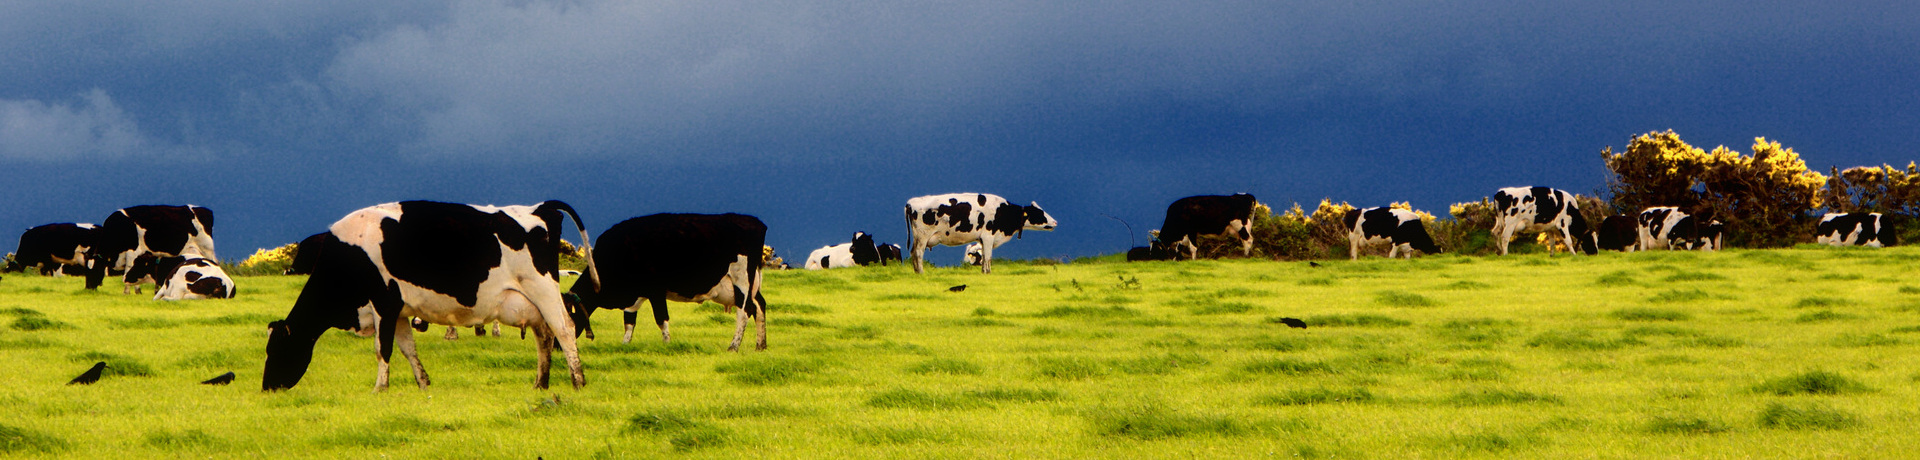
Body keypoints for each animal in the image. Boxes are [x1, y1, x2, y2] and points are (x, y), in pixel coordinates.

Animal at [85, 205, 215, 291]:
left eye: (95, 269)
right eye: (86, 271)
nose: (88, 288)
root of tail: (203, 209)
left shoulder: (133, 252)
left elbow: (128, 270)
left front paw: (129, 292)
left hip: (206, 248)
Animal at [560, 213, 764, 350]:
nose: (558, 347)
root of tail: (753, 221)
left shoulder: (655, 290)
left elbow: (661, 319)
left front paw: (667, 344)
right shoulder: (634, 295)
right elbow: (629, 321)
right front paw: (625, 344)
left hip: (742, 280)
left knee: (745, 311)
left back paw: (733, 346)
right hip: (753, 284)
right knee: (760, 306)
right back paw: (760, 345)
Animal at [902, 191, 1059, 272]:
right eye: (1039, 212)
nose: (1055, 222)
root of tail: (911, 202)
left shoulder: (983, 240)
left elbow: (984, 258)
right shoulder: (988, 236)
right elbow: (988, 258)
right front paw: (988, 273)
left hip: (917, 238)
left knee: (913, 253)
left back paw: (916, 272)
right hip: (922, 236)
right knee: (918, 253)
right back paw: (921, 272)